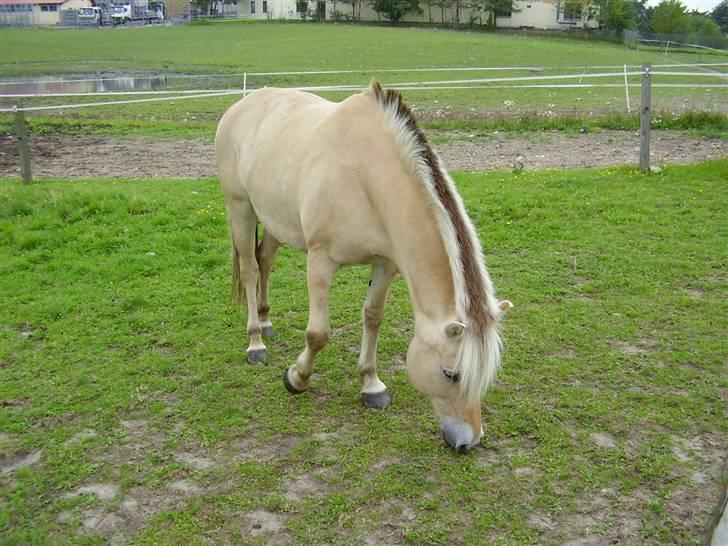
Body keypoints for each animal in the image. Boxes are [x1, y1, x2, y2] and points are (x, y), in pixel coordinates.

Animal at [216, 79, 512, 446]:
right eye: (450, 374)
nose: (468, 442)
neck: (364, 175)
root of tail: (243, 104)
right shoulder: (320, 261)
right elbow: (318, 334)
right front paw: (296, 378)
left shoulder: (385, 265)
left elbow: (373, 318)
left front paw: (372, 386)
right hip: (240, 207)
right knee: (250, 269)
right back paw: (255, 341)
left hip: (275, 219)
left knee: (265, 260)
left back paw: (266, 321)